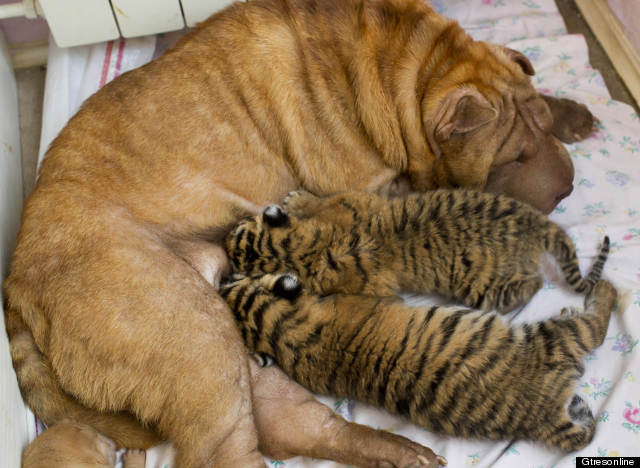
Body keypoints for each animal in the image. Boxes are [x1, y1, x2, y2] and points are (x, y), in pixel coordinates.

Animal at [220, 272, 618, 452]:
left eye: (231, 283)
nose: (222, 277)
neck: (283, 333)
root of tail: (541, 417)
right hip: (555, 338)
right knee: (595, 327)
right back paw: (605, 289)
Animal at [225, 189, 610, 313]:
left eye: (236, 235)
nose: (224, 241)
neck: (309, 251)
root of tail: (534, 225)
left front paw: (298, 199)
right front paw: (300, 200)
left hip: (482, 286)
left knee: (531, 286)